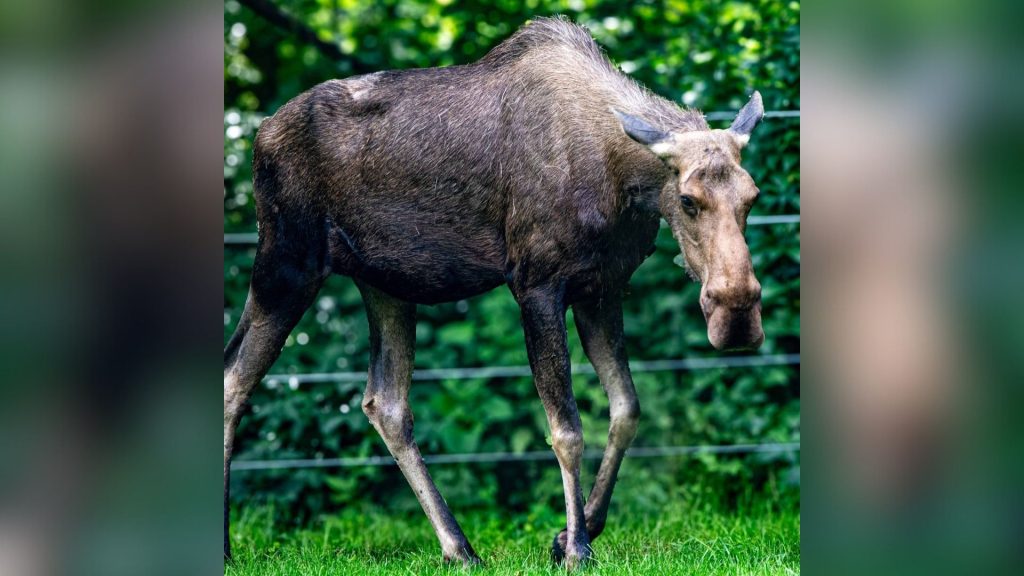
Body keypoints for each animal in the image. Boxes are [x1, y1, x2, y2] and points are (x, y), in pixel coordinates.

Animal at [226, 16, 770, 565]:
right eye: (688, 199)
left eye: (753, 195)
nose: (736, 314)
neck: (627, 188)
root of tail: (259, 135)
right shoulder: (537, 284)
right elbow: (567, 430)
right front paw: (576, 548)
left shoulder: (601, 289)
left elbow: (626, 411)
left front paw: (575, 532)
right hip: (287, 260)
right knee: (235, 379)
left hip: (383, 282)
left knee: (386, 403)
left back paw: (458, 547)